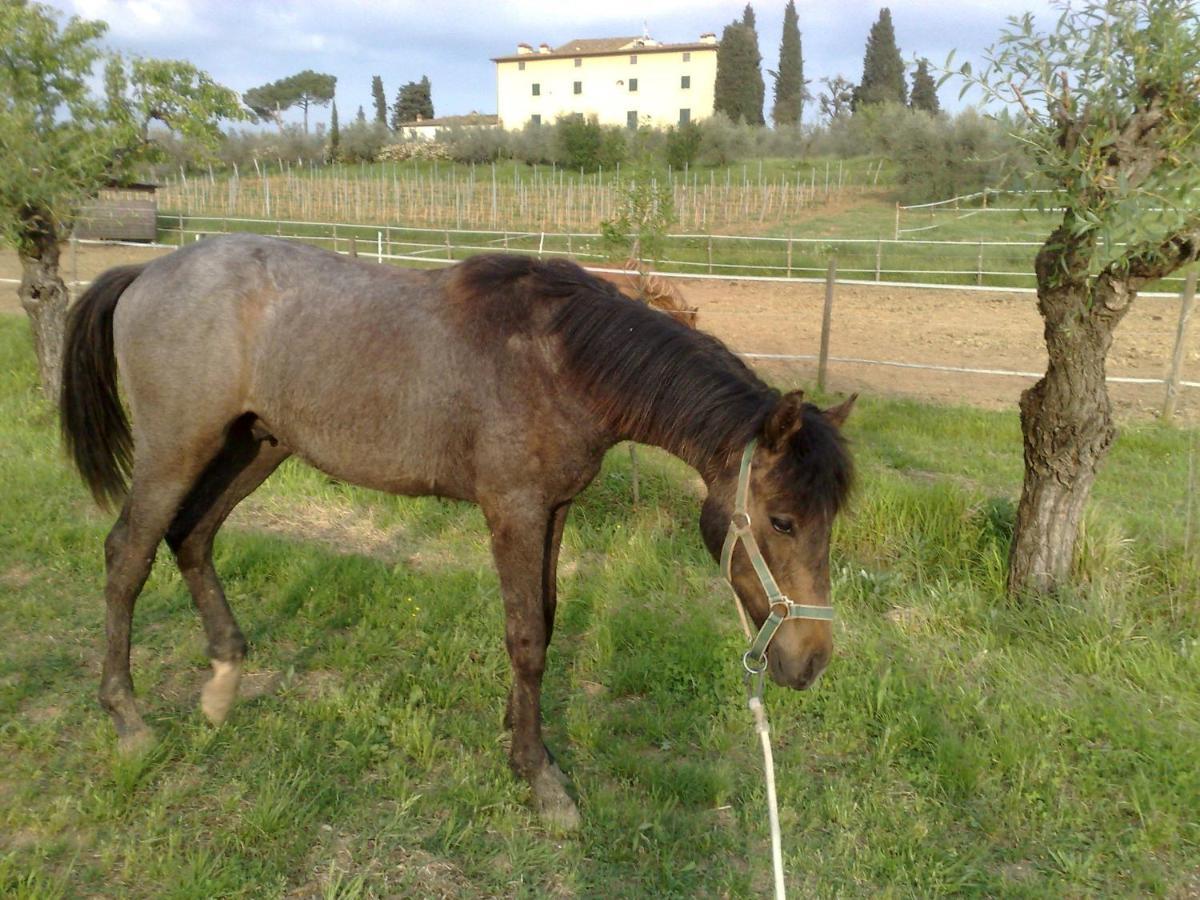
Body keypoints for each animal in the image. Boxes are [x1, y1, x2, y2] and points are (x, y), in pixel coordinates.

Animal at [60, 234, 854, 830]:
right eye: (782, 520)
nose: (812, 662)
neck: (559, 360)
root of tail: (147, 271)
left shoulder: (553, 509)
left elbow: (548, 619)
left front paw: (517, 733)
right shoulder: (513, 510)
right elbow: (527, 637)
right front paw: (540, 779)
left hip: (254, 445)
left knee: (191, 537)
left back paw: (223, 683)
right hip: (177, 448)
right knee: (128, 553)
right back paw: (128, 719)